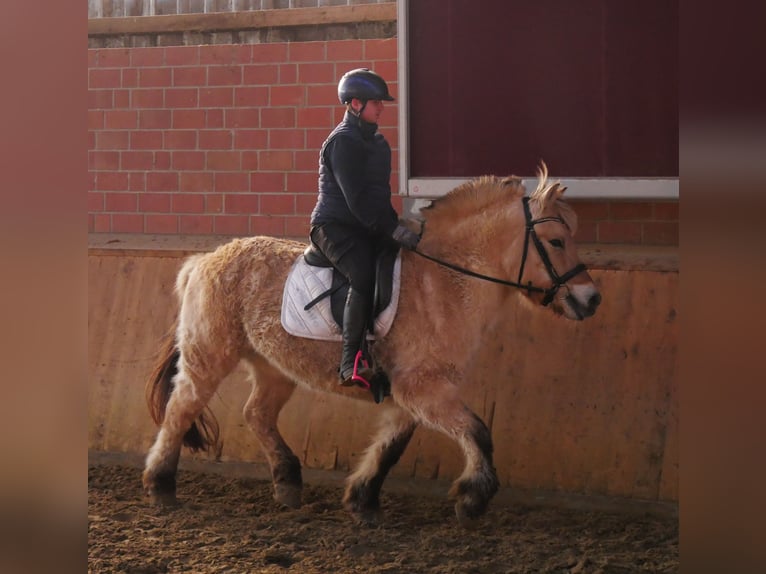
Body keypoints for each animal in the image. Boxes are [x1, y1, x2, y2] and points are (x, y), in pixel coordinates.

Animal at [141, 164, 604, 528]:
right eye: (557, 241)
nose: (591, 299)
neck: (445, 284)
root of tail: (205, 259)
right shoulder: (424, 390)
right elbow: (478, 432)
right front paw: (473, 498)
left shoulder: (412, 395)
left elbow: (391, 447)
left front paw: (362, 501)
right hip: (209, 355)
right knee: (182, 409)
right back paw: (161, 485)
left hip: (274, 365)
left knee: (256, 413)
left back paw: (288, 483)